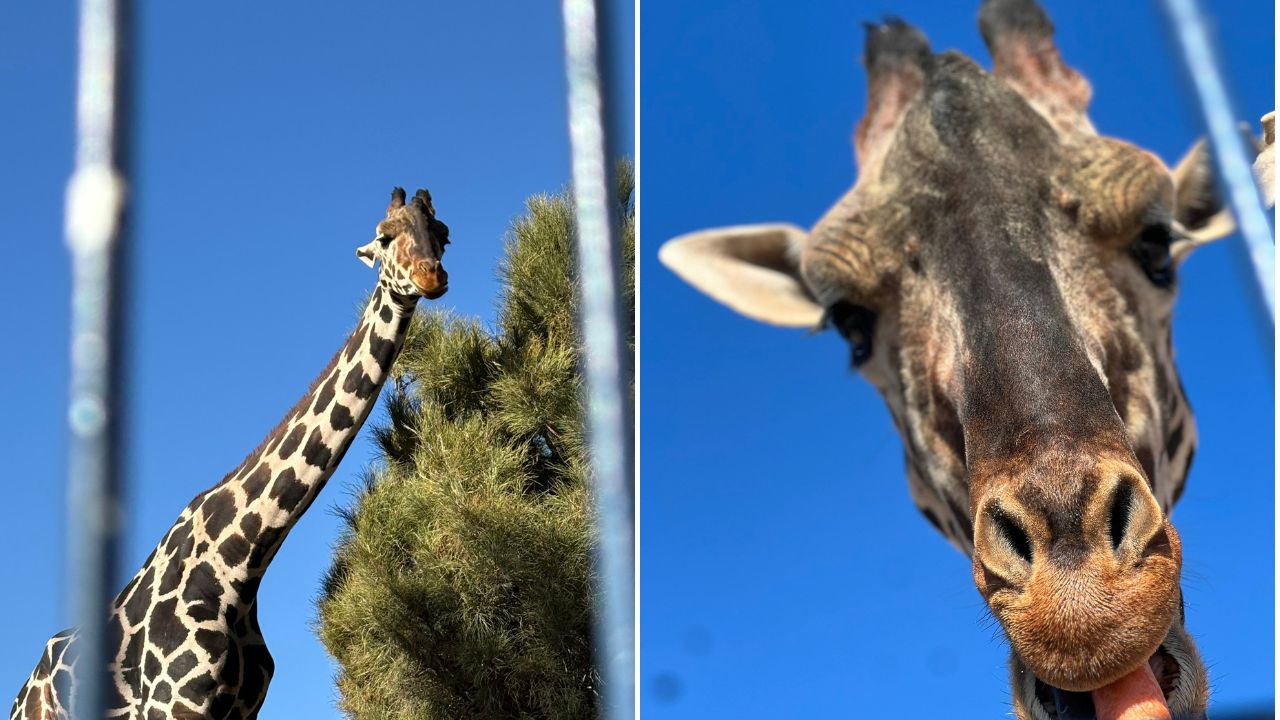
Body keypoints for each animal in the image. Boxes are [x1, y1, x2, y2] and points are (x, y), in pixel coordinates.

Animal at [10, 187, 449, 720]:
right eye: (384, 237)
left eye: (443, 233)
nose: (431, 276)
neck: (242, 562)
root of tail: (28, 684)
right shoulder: (174, 705)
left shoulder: (243, 709)